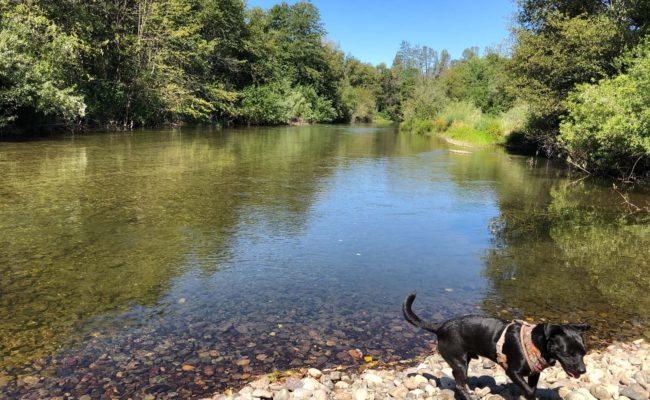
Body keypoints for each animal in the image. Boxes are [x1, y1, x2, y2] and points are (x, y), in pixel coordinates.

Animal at [400, 290, 588, 400]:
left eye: (583, 353)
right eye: (568, 353)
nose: (583, 371)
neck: (534, 345)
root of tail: (440, 328)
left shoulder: (534, 373)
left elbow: (531, 389)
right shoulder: (512, 372)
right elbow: (528, 390)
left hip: (463, 360)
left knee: (456, 378)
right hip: (459, 361)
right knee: (460, 384)